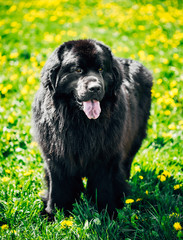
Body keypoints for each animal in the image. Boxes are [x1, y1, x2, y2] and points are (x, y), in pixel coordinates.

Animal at [32, 39, 152, 218]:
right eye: (78, 70)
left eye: (101, 69)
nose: (94, 87)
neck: (81, 122)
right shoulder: (56, 157)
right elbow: (58, 187)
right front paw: (55, 213)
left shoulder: (106, 157)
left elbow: (104, 187)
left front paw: (108, 213)